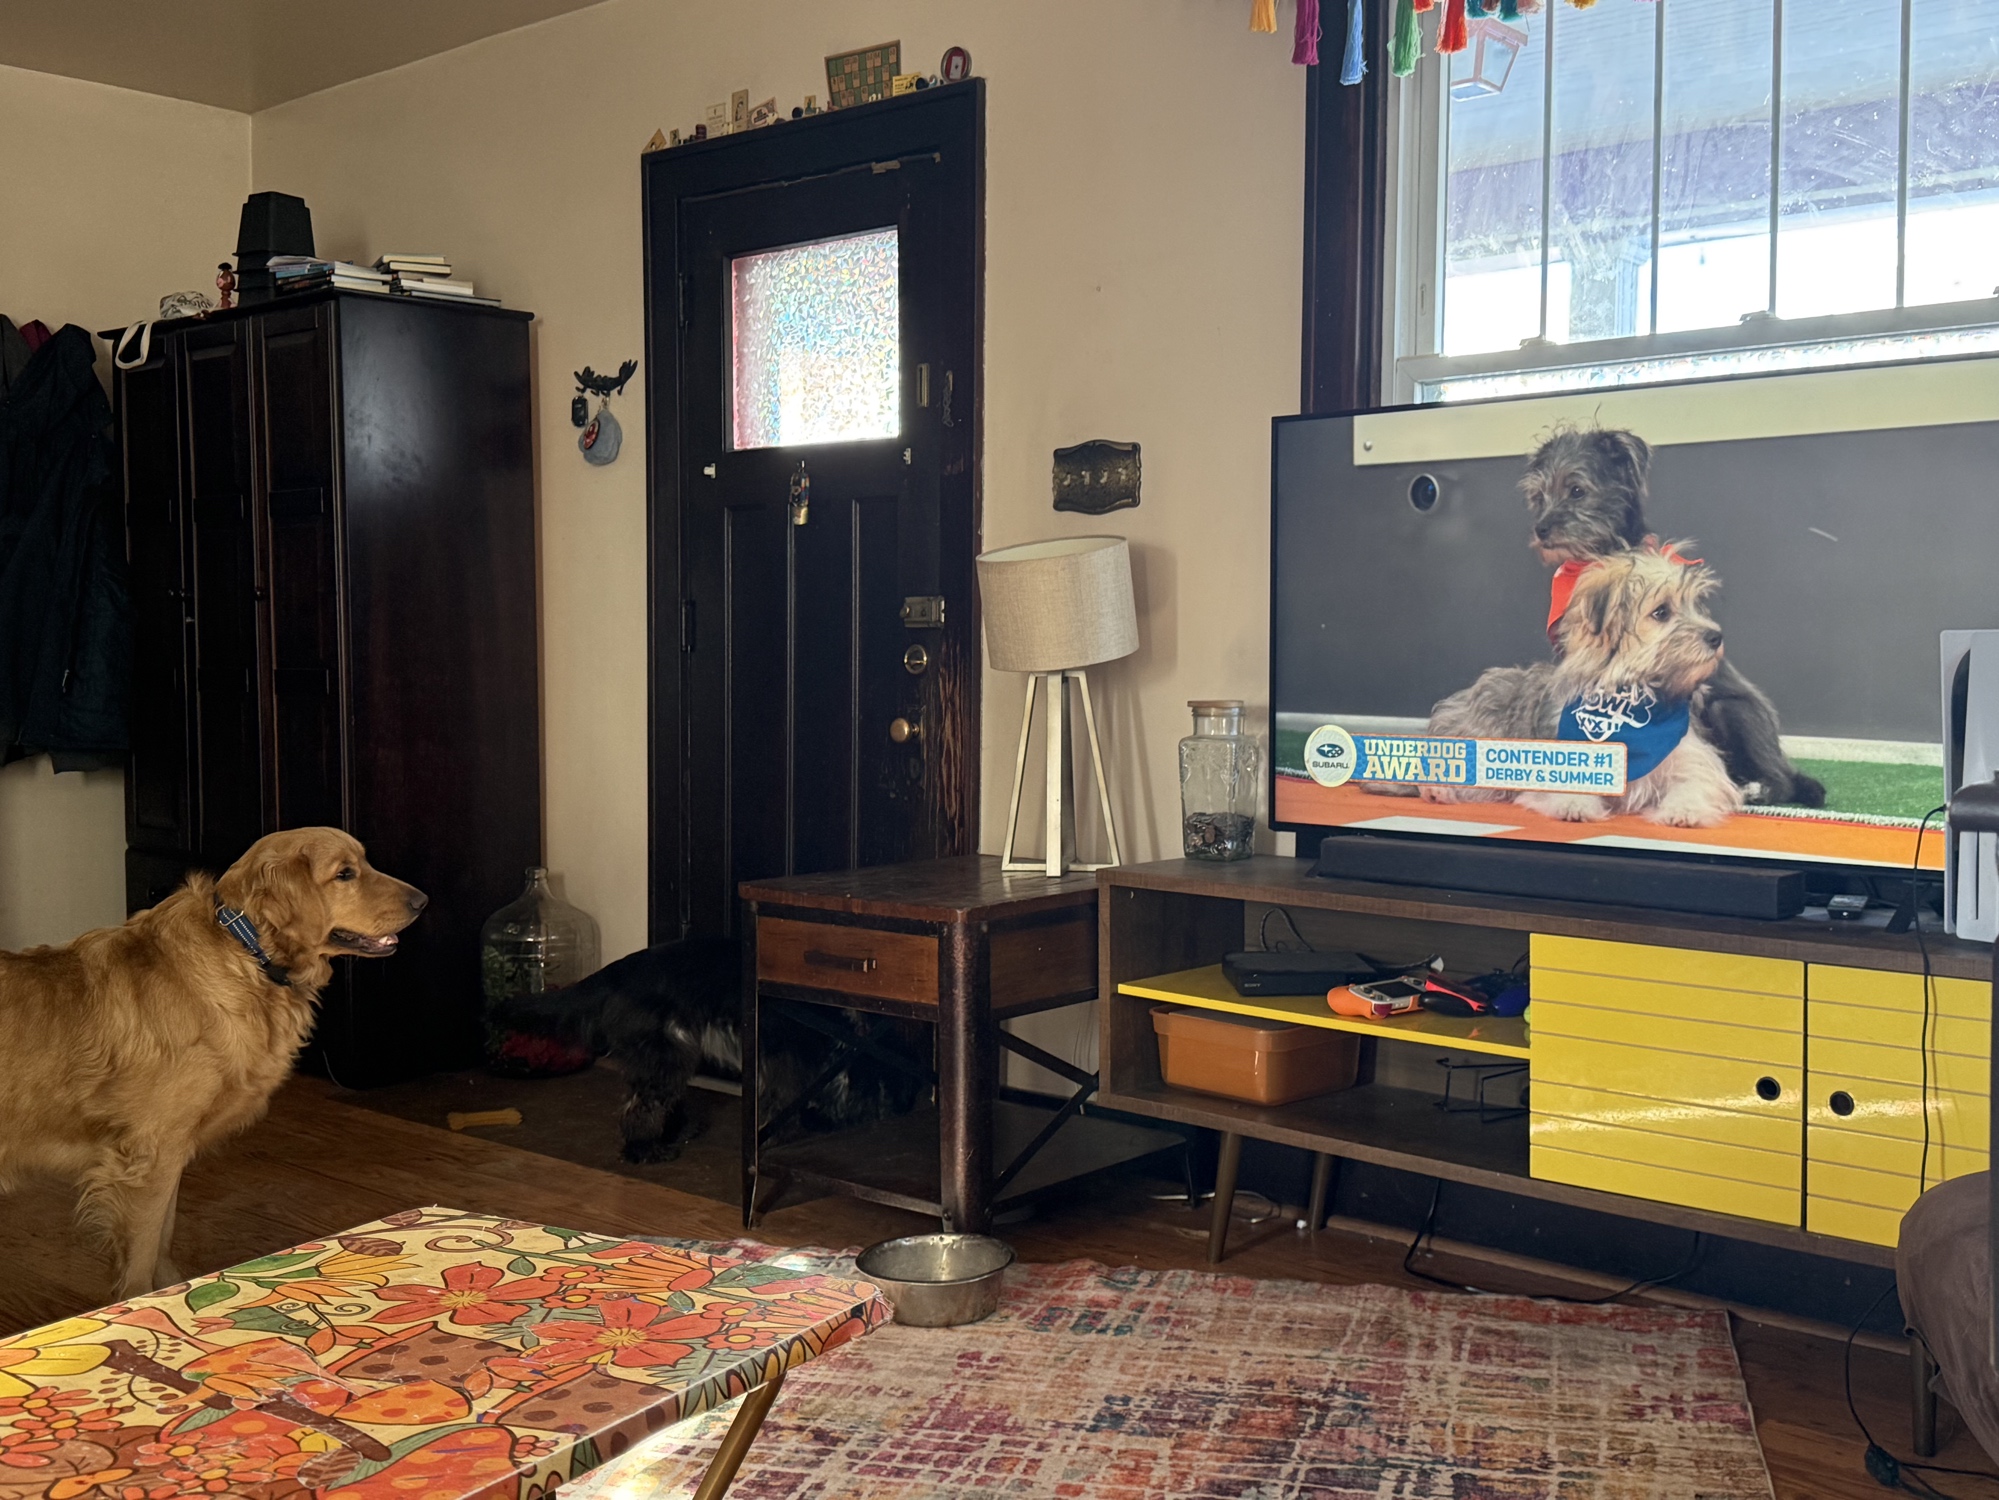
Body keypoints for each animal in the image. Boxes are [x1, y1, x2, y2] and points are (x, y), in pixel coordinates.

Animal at [0, 828, 425, 1299]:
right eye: (345, 874)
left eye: (365, 863)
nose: (423, 901)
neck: (247, 953)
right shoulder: (149, 1155)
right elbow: (142, 1253)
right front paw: (145, 1301)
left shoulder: (167, 1155)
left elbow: (162, 1239)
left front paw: (173, 1288)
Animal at [494, 938, 927, 1164]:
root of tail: (617, 972)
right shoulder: (783, 1060)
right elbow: (779, 1104)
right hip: (667, 1054)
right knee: (639, 1109)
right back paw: (645, 1149)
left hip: (671, 1054)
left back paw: (677, 1131)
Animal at [1423, 549, 1743, 827]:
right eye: (1661, 612)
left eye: (1696, 606)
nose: (1716, 636)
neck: (1633, 698)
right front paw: (1574, 803)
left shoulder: (1692, 756)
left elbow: (1697, 781)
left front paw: (1684, 808)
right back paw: (1439, 791)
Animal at [1521, 425, 1826, 808]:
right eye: (1538, 496)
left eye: (1576, 490)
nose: (1541, 529)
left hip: (1733, 710)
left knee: (1781, 781)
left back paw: (1757, 788)